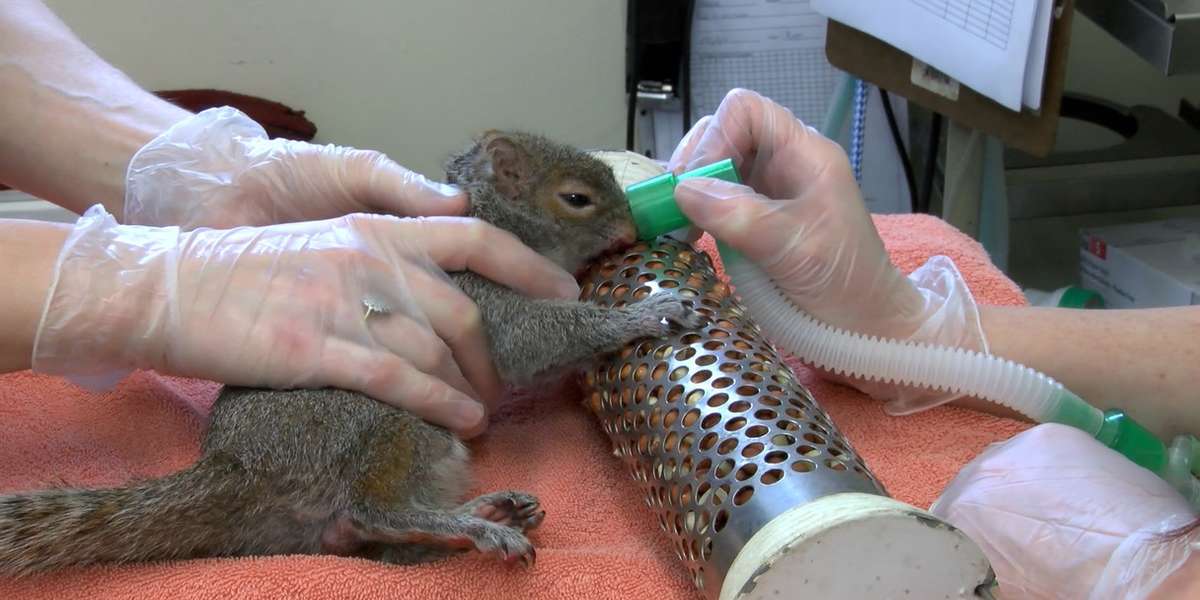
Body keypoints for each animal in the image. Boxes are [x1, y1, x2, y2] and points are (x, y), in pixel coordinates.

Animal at [0, 131, 700, 577]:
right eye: (576, 197)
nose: (631, 231)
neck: (492, 220)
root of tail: (235, 467)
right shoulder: (479, 294)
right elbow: (538, 337)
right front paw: (642, 313)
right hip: (383, 421)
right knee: (372, 512)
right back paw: (476, 526)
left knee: (370, 544)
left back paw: (478, 512)